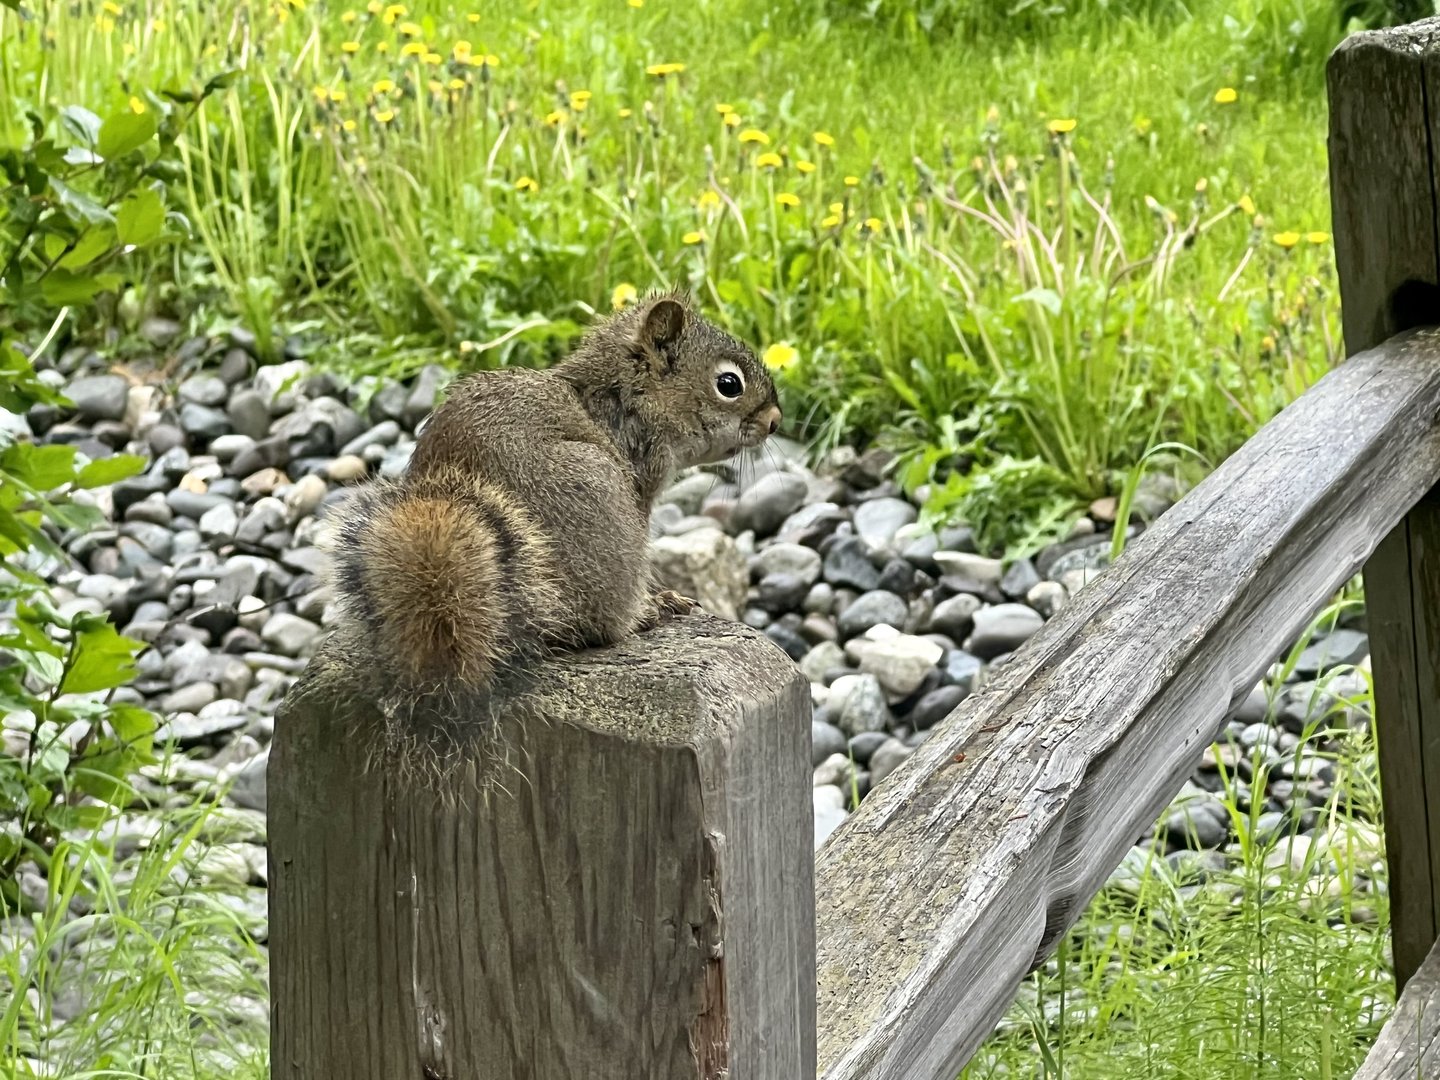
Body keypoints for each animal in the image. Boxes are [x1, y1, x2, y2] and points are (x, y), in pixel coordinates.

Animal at [322, 289, 782, 767]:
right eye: (729, 384)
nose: (775, 421)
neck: (621, 396)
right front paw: (659, 598)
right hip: (596, 491)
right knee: (603, 624)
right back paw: (642, 614)